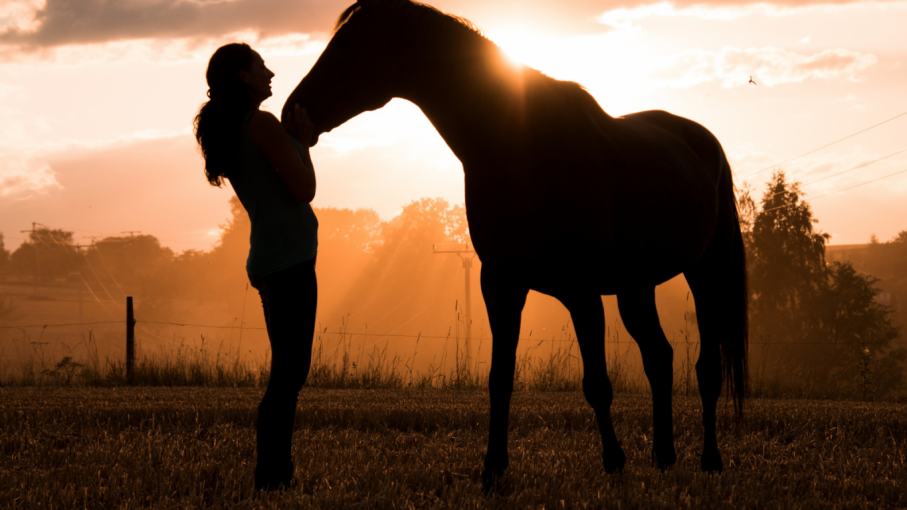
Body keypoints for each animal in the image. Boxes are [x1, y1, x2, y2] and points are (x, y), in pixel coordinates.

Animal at [282, 0, 744, 492]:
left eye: (349, 44)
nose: (292, 112)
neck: (522, 149)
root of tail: (703, 142)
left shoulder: (582, 292)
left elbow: (596, 383)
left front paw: (614, 461)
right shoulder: (501, 284)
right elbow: (499, 378)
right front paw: (492, 469)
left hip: (705, 273)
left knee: (706, 369)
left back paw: (710, 459)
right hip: (636, 287)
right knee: (659, 357)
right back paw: (663, 456)